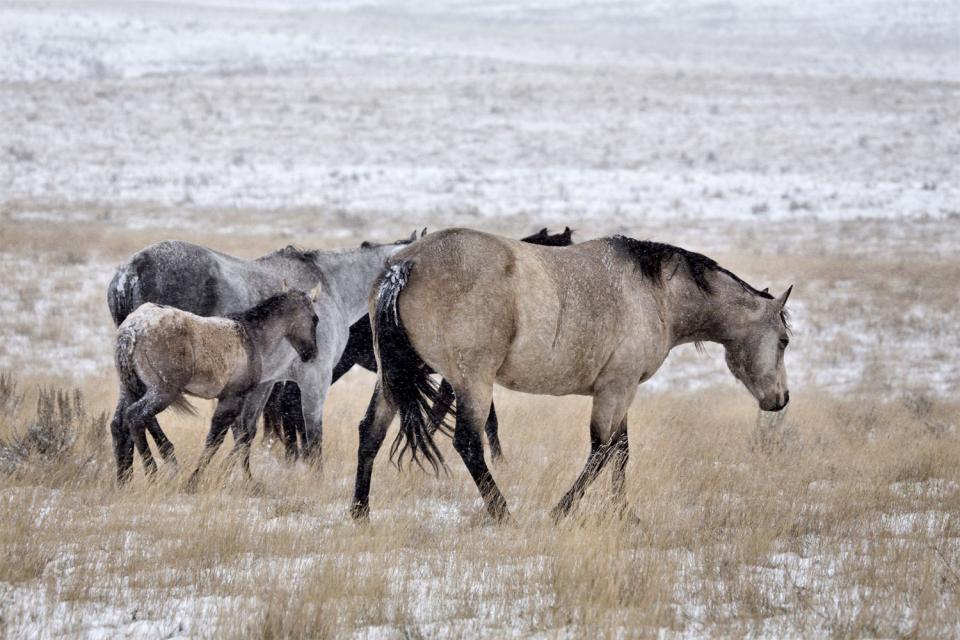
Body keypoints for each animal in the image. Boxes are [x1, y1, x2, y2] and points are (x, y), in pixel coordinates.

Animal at [109, 290, 318, 484]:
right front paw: (195, 480)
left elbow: (240, 436)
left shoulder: (234, 400)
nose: (311, 353)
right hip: (163, 392)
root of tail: (133, 328)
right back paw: (152, 472)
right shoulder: (233, 398)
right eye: (315, 319)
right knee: (135, 417)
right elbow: (217, 438)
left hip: (132, 388)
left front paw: (248, 480)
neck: (251, 337)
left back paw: (124, 480)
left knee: (121, 424)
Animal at [348, 228, 792, 524]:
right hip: (472, 382)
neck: (657, 294)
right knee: (468, 444)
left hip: (393, 378)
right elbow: (601, 451)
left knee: (371, 432)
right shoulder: (615, 389)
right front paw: (560, 511)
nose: (781, 399)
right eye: (785, 340)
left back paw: (360, 513)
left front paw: (625, 515)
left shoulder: (620, 391)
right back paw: (504, 515)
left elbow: (621, 451)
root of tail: (405, 265)